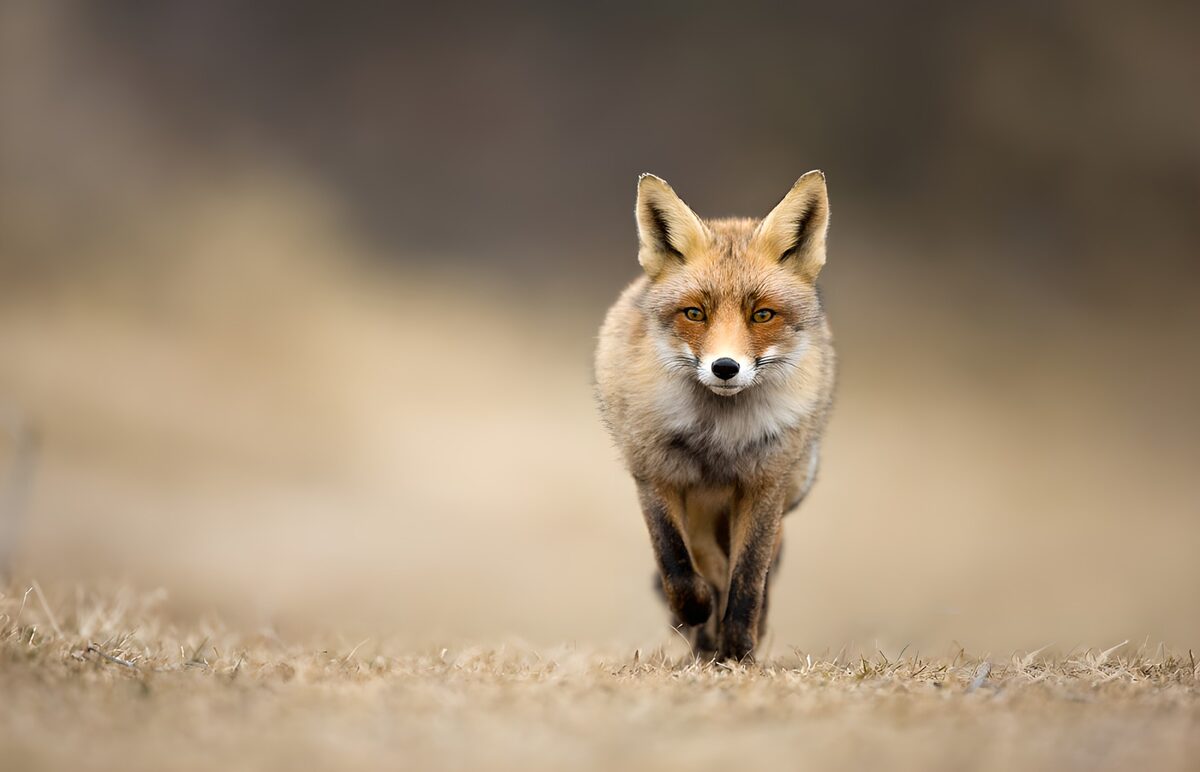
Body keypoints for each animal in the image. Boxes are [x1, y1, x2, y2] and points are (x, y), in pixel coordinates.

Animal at [594, 171, 836, 662]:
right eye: (694, 313)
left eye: (762, 314)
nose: (725, 367)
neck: (719, 435)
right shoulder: (655, 475)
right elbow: (677, 565)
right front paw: (697, 613)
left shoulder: (765, 485)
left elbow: (748, 579)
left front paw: (740, 651)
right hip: (701, 504)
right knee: (706, 561)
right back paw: (702, 636)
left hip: (783, 490)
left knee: (754, 570)